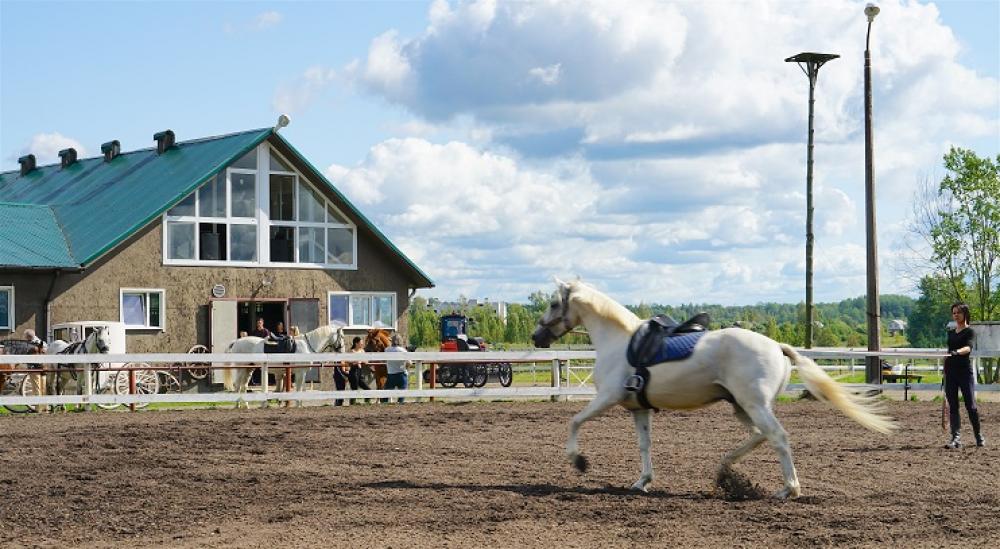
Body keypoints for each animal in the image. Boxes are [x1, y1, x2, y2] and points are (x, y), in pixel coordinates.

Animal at [531, 279, 896, 499]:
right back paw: (724, 470)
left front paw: (578, 461)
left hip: (754, 405)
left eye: (553, 303)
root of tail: (777, 347)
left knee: (777, 437)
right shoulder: (640, 409)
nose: (536, 337)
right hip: (741, 406)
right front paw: (642, 482)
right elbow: (644, 445)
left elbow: (575, 421)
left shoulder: (608, 398)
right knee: (760, 436)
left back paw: (788, 489)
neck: (619, 342)